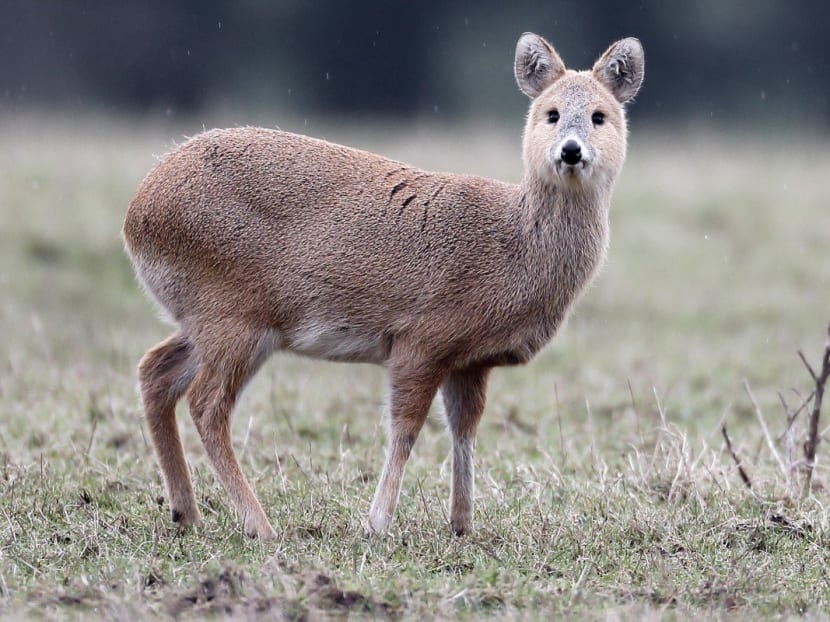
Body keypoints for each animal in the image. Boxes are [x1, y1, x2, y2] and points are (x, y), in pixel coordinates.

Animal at [122, 33, 644, 539]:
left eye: (600, 116)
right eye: (550, 113)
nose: (571, 150)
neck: (513, 244)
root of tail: (138, 212)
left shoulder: (470, 360)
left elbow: (464, 430)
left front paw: (462, 524)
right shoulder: (421, 338)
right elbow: (406, 429)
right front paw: (377, 524)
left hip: (208, 319)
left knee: (155, 372)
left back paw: (187, 512)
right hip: (234, 315)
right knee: (206, 404)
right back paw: (259, 525)